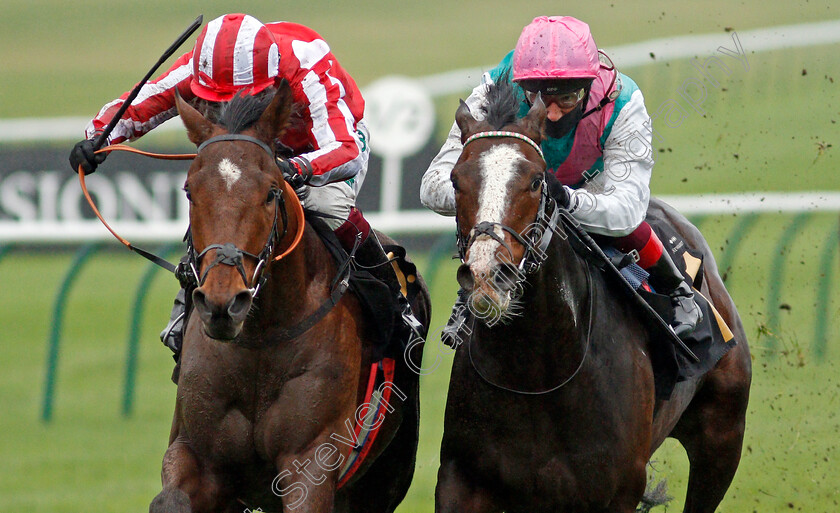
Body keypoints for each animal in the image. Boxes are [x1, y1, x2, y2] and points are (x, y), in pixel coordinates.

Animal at [147, 82, 430, 510]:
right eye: (189, 191)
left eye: (271, 192)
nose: (222, 304)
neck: (260, 339)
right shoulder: (196, 455)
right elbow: (170, 498)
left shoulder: (309, 461)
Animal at [436, 82, 752, 510]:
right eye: (455, 180)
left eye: (536, 180)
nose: (488, 275)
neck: (537, 375)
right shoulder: (462, 479)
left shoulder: (615, 489)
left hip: (723, 436)